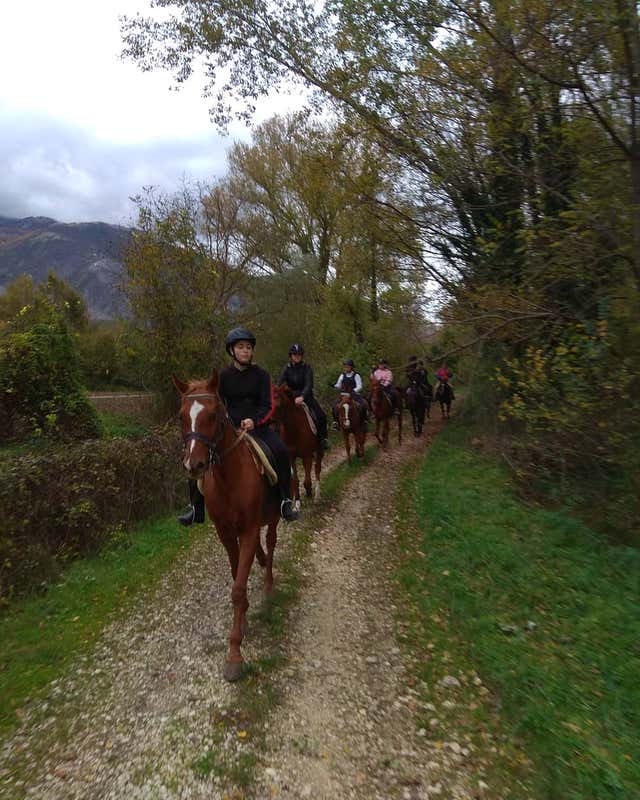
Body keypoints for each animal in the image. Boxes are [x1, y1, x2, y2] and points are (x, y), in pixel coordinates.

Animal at [173, 371, 280, 682]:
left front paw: (234, 654)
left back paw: (268, 585)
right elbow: (237, 578)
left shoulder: (248, 530)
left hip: (274, 517)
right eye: (182, 416)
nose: (194, 465)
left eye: (212, 414)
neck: (228, 478)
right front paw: (242, 620)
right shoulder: (226, 534)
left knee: (271, 543)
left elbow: (238, 588)